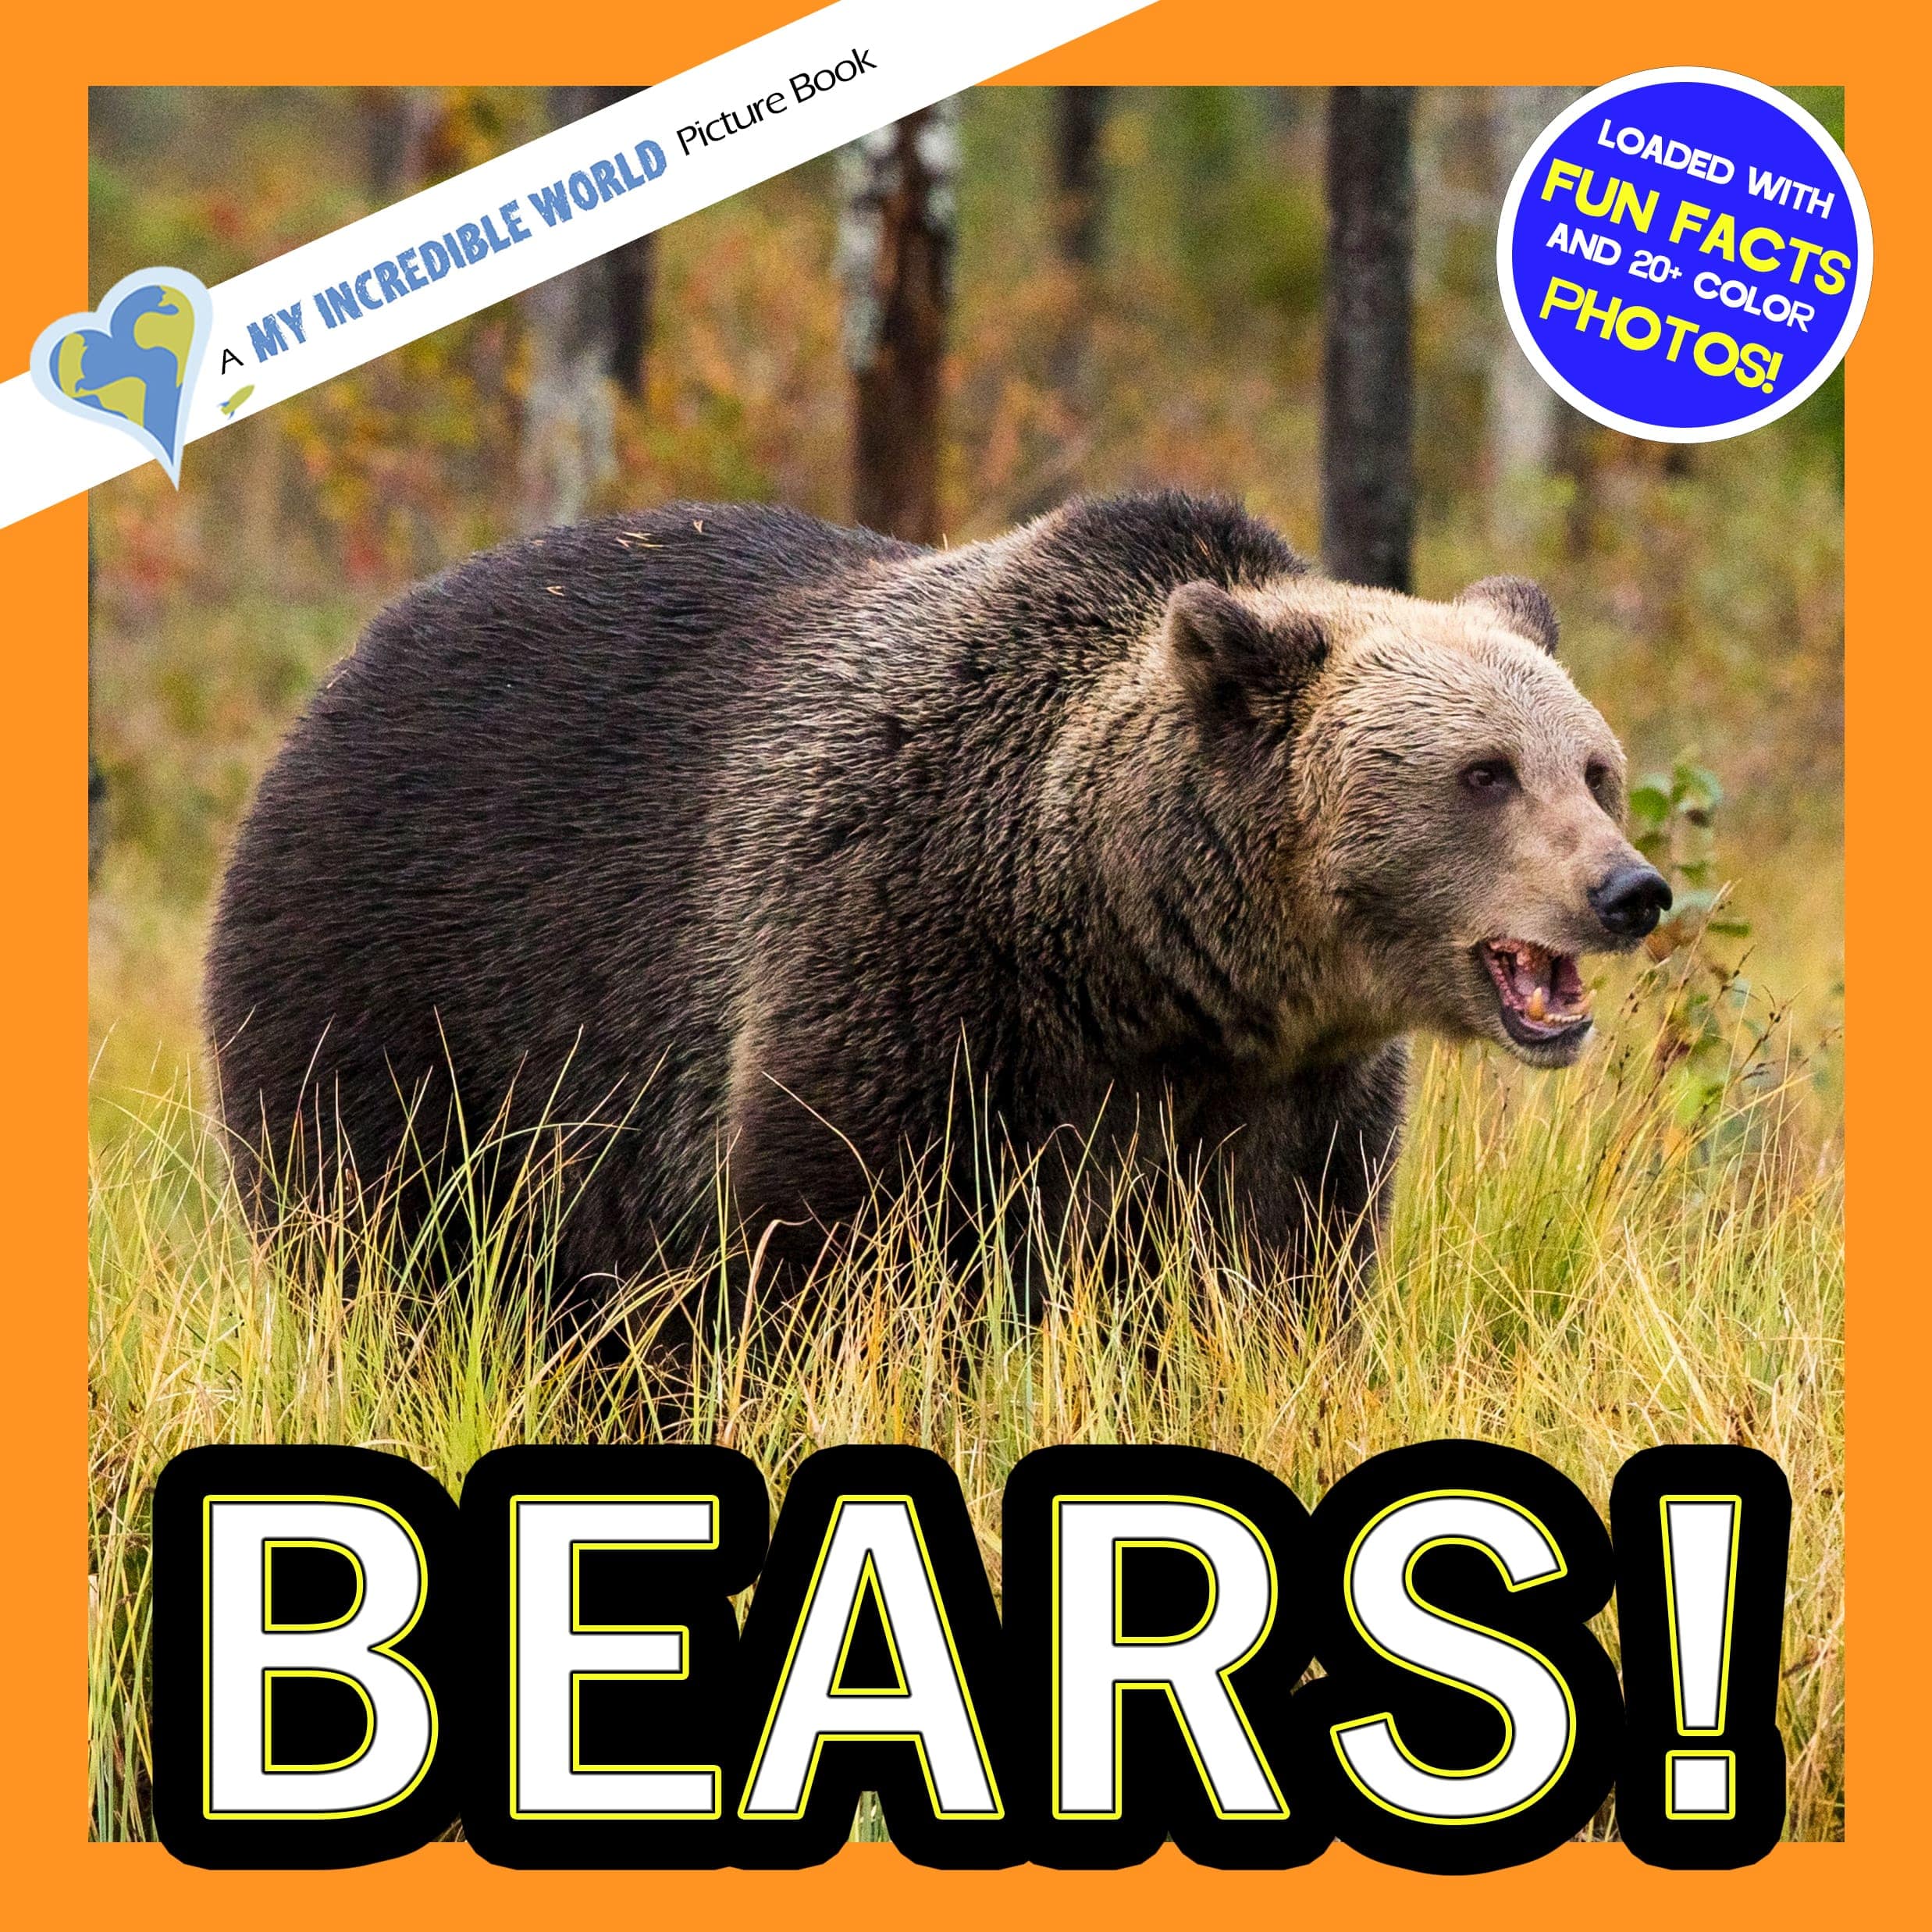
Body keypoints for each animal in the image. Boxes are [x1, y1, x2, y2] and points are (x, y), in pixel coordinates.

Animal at [204, 491, 1669, 1301]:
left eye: (1593, 765)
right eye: (1483, 774)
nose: (1627, 888)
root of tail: (344, 669)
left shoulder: (1286, 1095)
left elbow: (1274, 1274)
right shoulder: (905, 969)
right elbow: (842, 1244)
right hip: (410, 984)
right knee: (390, 1248)